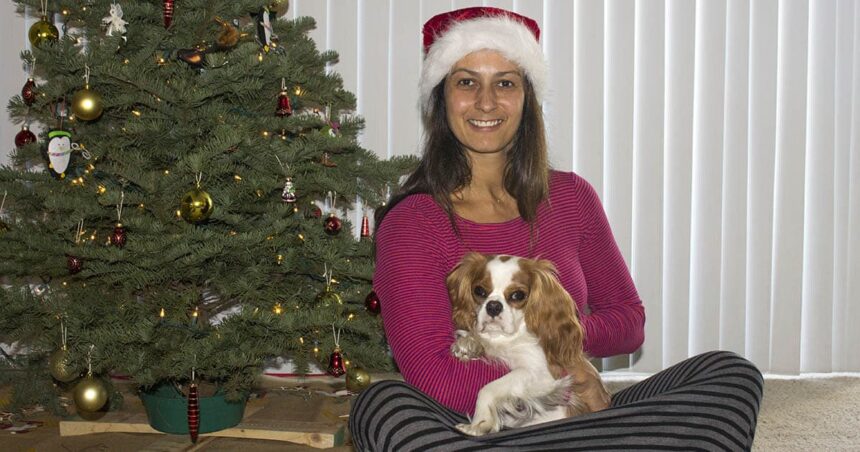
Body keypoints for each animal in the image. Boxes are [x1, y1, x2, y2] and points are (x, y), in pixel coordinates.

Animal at [446, 252, 608, 436]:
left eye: (517, 295)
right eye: (479, 291)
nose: (493, 305)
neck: (506, 338)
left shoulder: (541, 373)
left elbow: (488, 388)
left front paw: (478, 424)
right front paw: (468, 345)